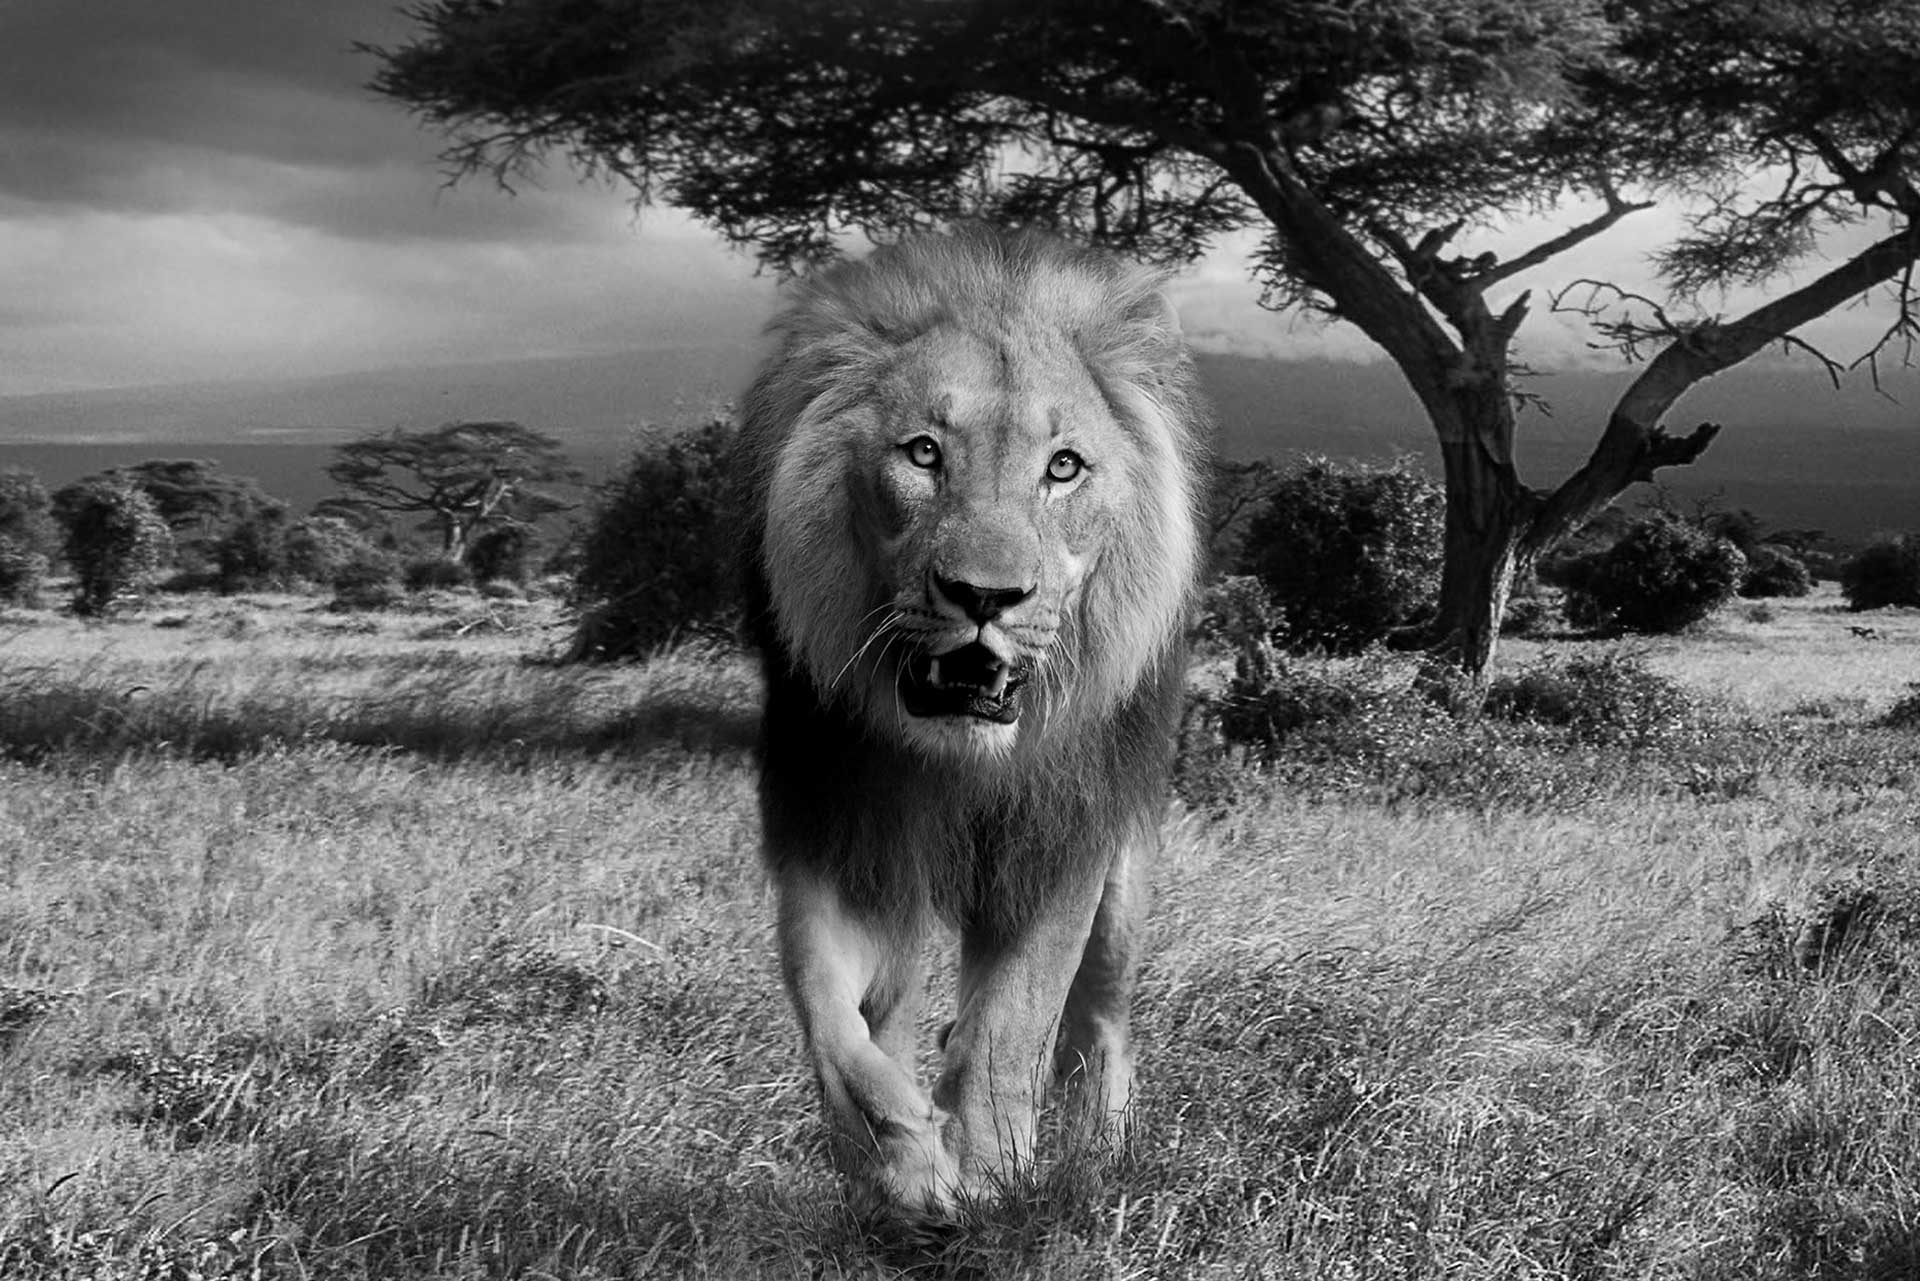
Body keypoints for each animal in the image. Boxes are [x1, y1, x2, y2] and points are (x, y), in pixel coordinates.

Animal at [735, 225, 1207, 1217]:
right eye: (923, 453)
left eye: (1062, 467)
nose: (985, 597)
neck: (957, 758)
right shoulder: (839, 826)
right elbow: (829, 1013)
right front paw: (905, 1164)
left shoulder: (1060, 846)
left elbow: (1011, 1024)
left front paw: (991, 1173)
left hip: (1126, 877)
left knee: (1102, 1015)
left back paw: (1101, 1154)